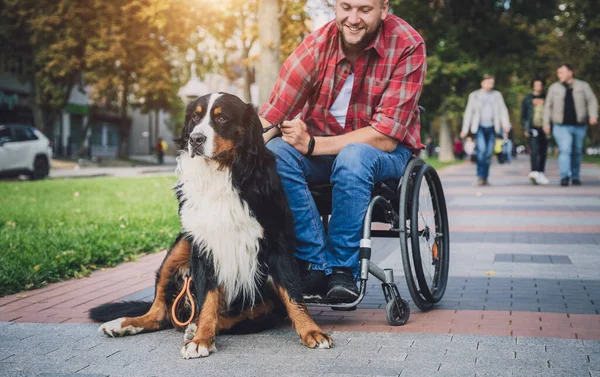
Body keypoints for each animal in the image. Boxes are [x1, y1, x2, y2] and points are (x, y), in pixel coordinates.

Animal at [89, 92, 332, 356]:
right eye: (195, 118)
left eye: (222, 118)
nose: (195, 139)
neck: (221, 174)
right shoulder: (203, 246)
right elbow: (207, 298)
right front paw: (202, 339)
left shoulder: (278, 243)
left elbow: (293, 294)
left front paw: (311, 331)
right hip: (181, 245)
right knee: (159, 313)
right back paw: (124, 324)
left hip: (265, 301)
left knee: (245, 316)